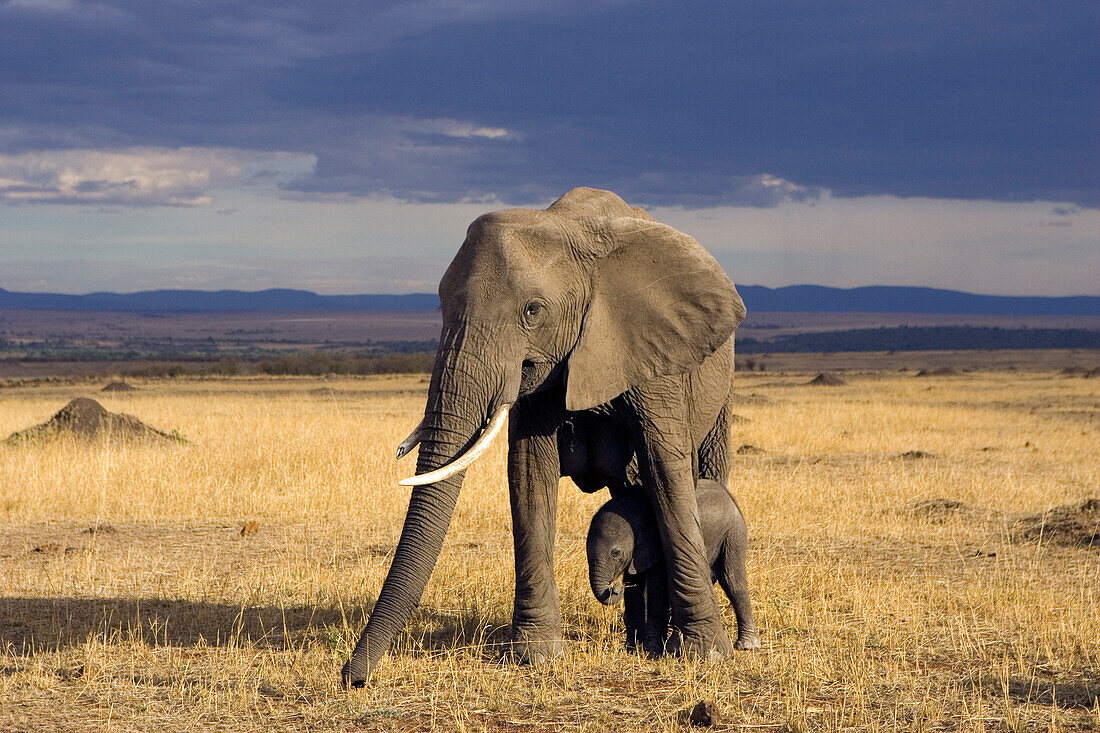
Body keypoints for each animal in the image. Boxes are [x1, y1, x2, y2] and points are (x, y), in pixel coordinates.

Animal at [338, 186, 743, 682]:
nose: (351, 677)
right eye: (441, 306)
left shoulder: (652, 352)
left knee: (700, 472)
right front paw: (536, 656)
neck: (568, 228)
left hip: (720, 379)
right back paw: (639, 643)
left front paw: (705, 654)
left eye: (533, 311)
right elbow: (530, 474)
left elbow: (667, 470)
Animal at [589, 477, 761, 651]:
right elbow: (635, 586)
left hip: (733, 532)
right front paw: (632, 648)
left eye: (616, 553)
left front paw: (652, 650)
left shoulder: (657, 543)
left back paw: (746, 645)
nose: (614, 587)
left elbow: (657, 587)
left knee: (731, 581)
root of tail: (729, 495)